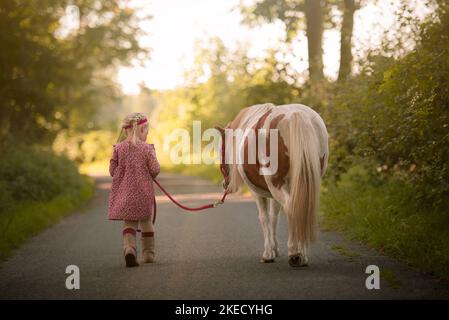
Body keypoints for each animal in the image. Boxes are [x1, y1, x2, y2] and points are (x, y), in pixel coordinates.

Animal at [215, 104, 328, 266]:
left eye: (221, 151)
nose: (225, 184)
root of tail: (295, 115)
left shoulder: (258, 192)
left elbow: (264, 217)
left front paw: (268, 254)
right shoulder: (276, 192)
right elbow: (274, 216)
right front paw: (275, 249)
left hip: (276, 185)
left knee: (292, 207)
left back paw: (294, 253)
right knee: (302, 208)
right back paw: (303, 256)